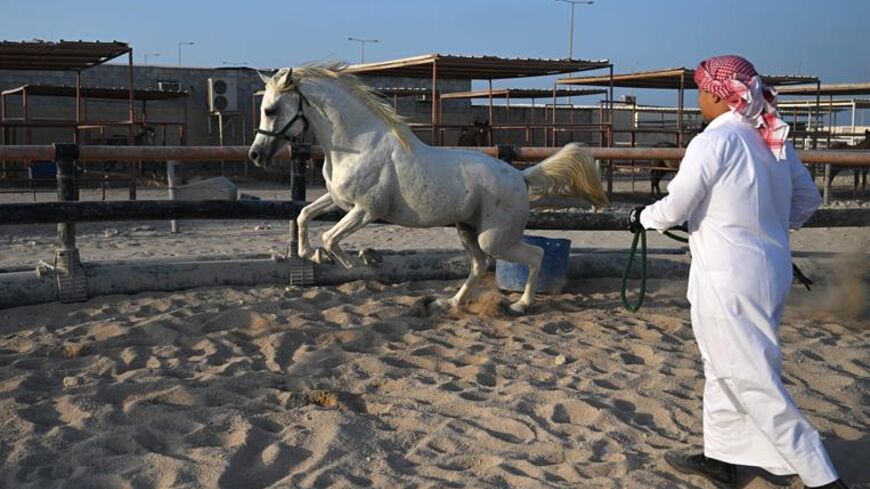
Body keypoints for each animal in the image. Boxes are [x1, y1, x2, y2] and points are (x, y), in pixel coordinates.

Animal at [249, 65, 608, 314]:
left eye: (270, 110)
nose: (255, 155)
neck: (358, 143)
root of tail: (521, 177)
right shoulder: (339, 199)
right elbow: (303, 214)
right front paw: (312, 254)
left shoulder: (366, 210)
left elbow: (330, 235)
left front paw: (351, 261)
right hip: (467, 230)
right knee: (479, 266)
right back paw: (447, 303)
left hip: (493, 238)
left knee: (535, 255)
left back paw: (521, 304)